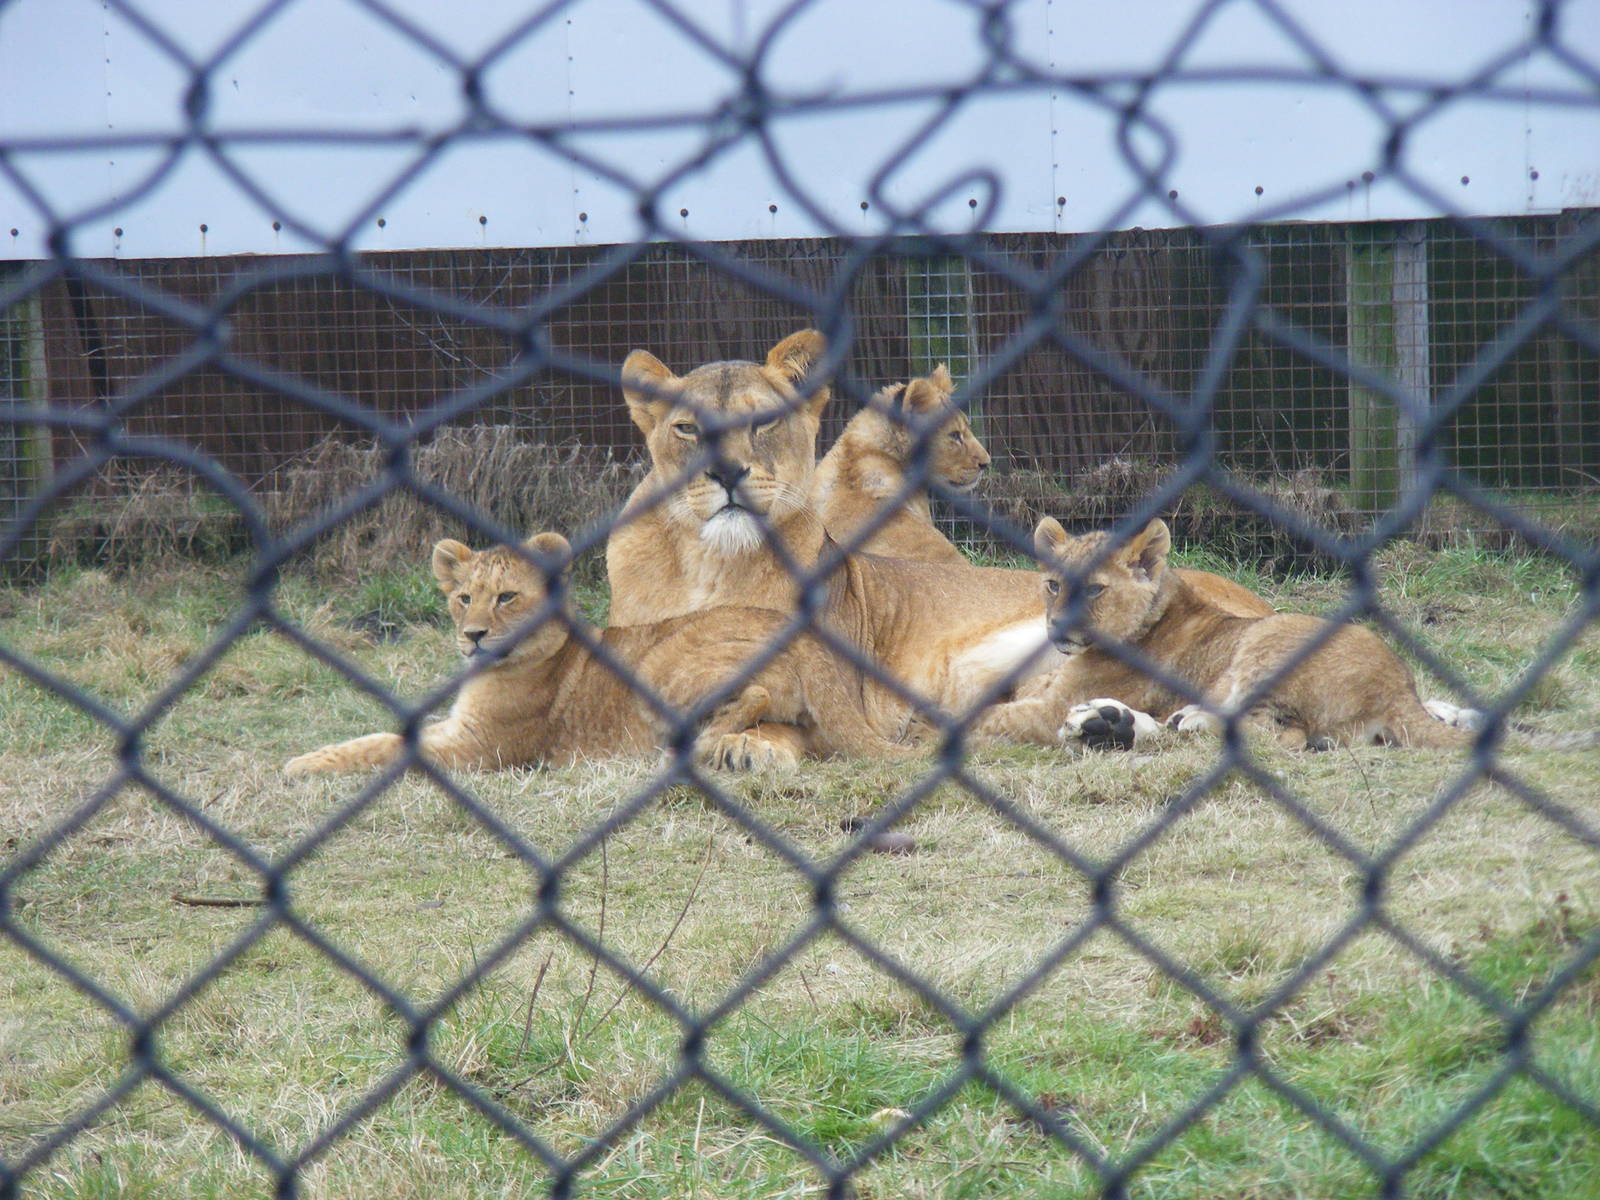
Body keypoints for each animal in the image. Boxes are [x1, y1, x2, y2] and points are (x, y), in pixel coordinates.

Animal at [284, 533, 915, 776]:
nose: (474, 635)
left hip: (665, 663)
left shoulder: (478, 749)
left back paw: (696, 743)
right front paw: (308, 758)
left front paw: (300, 767)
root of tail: (805, 635)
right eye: (464, 598)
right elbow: (375, 738)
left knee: (752, 694)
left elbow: (382, 749)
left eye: (507, 597)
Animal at [974, 516, 1481, 751]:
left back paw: (1188, 720)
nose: (1057, 625)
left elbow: (985, 717)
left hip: (1268, 638)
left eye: (1096, 589)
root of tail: (1398, 688)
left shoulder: (1047, 710)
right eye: (1052, 584)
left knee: (1281, 735)